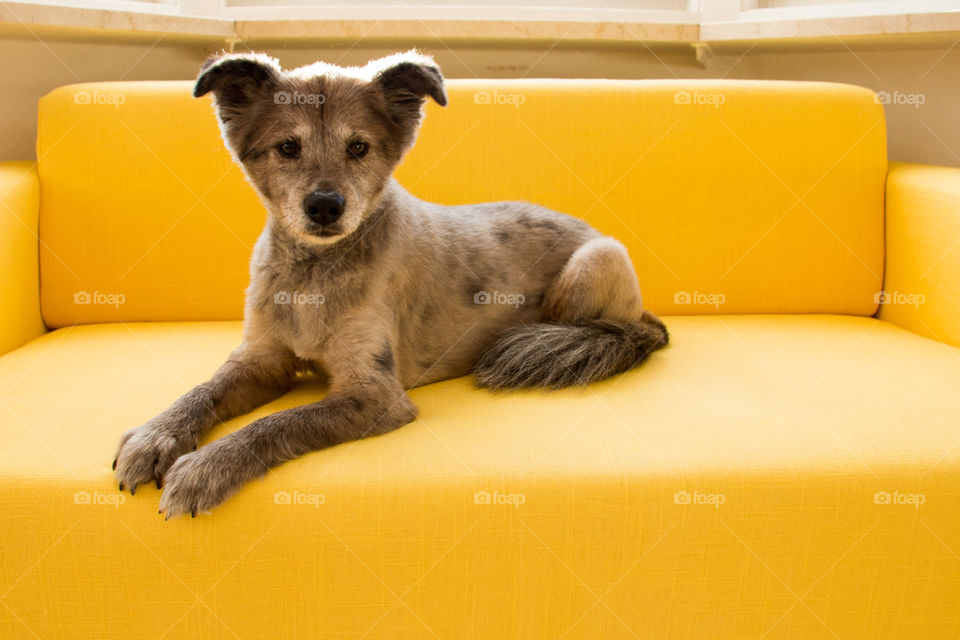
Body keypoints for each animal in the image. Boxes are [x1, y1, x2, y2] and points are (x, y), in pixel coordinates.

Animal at [112, 51, 668, 520]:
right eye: (288, 147)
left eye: (358, 147)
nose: (325, 206)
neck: (314, 274)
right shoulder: (261, 361)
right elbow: (202, 391)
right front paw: (157, 437)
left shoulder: (375, 394)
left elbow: (280, 422)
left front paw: (208, 467)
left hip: (595, 261)